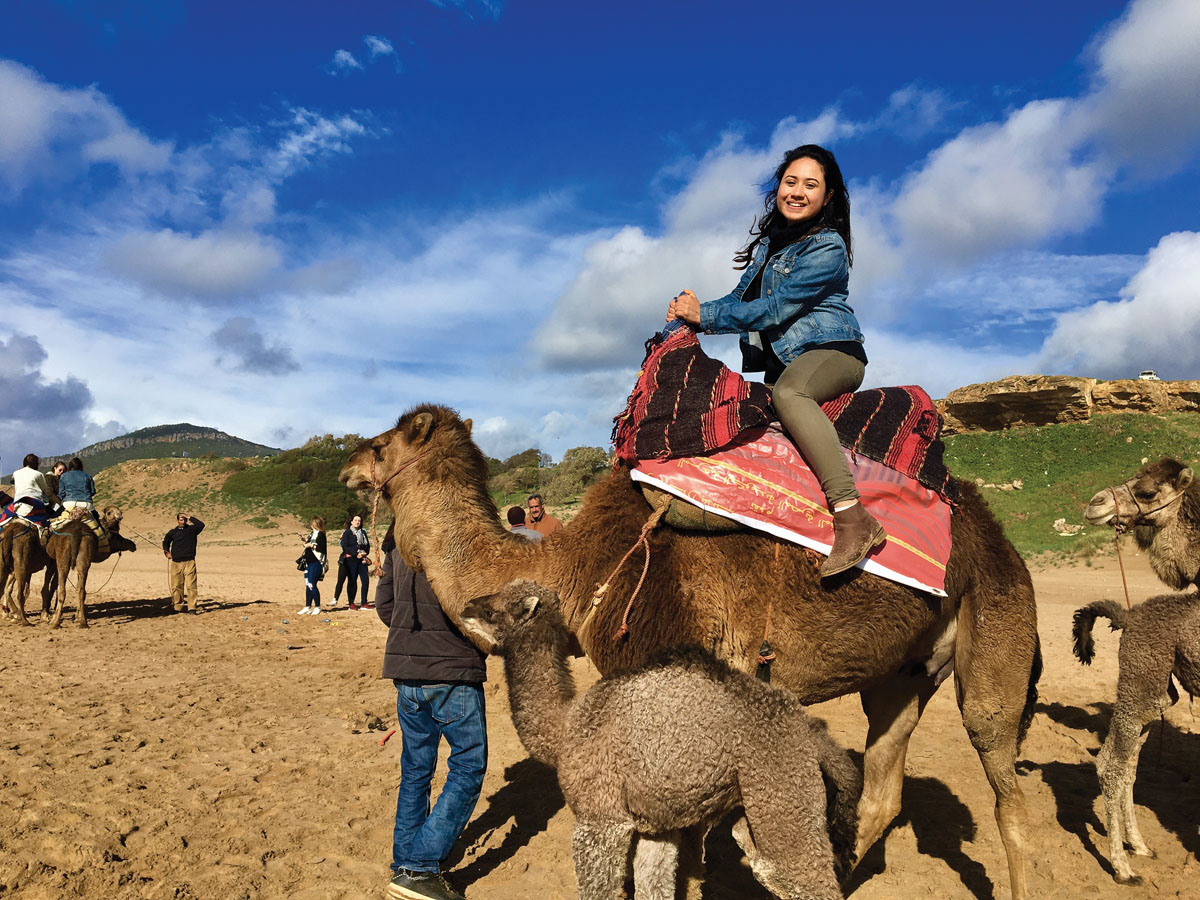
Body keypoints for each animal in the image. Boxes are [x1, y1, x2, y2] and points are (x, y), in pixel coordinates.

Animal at [340, 408, 1041, 900]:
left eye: (381, 444)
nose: (346, 464)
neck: (575, 567)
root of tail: (995, 534)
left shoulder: (665, 666)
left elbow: (682, 848)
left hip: (998, 616)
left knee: (1004, 782)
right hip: (903, 671)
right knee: (881, 790)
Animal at [1070, 595, 1200, 883]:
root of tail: (1129, 617)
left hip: (1155, 693)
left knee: (1125, 767)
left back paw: (1138, 845)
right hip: (1142, 680)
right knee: (1111, 768)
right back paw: (1122, 869)